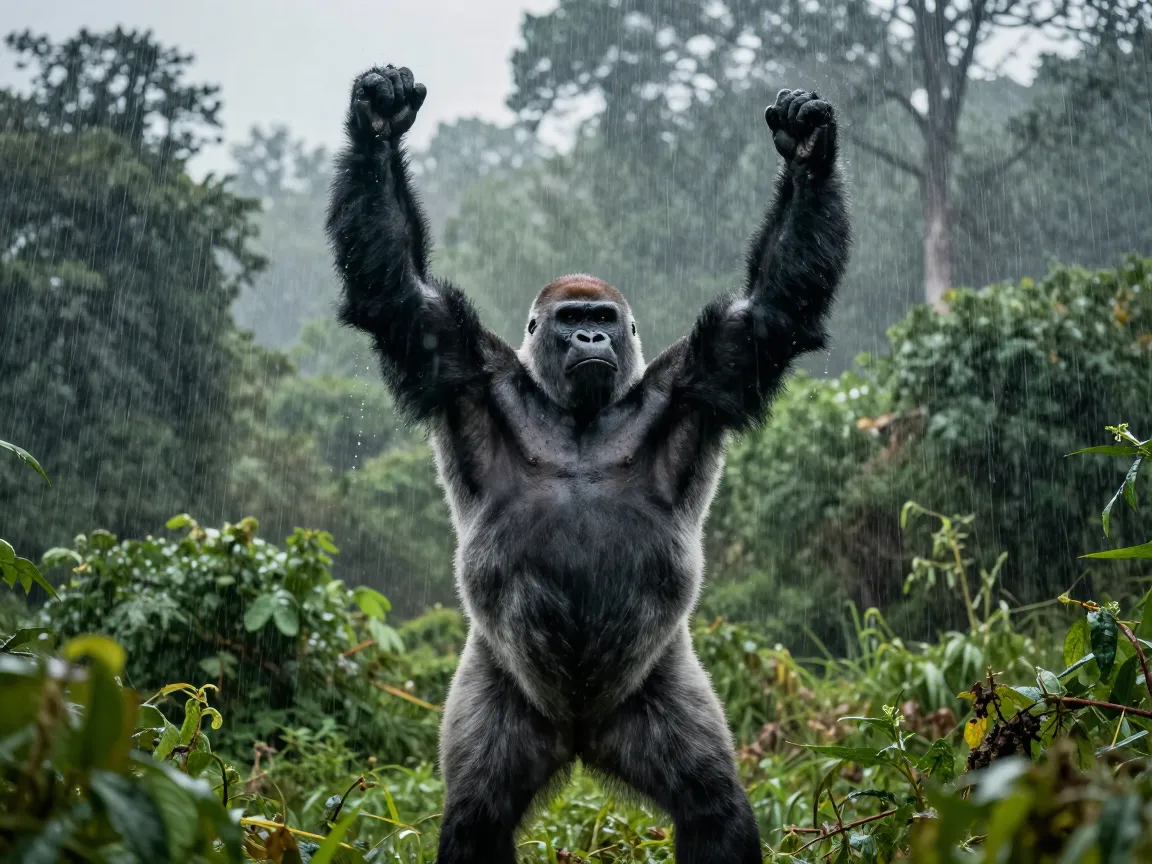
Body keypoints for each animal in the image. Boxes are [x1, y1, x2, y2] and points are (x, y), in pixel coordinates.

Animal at [326, 64, 850, 864]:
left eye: (602, 320)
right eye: (572, 321)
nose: (593, 341)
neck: (577, 413)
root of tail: (579, 736)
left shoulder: (702, 372)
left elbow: (772, 309)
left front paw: (807, 148)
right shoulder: (455, 357)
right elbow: (394, 292)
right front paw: (379, 124)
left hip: (655, 691)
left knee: (711, 805)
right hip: (501, 687)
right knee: (477, 814)